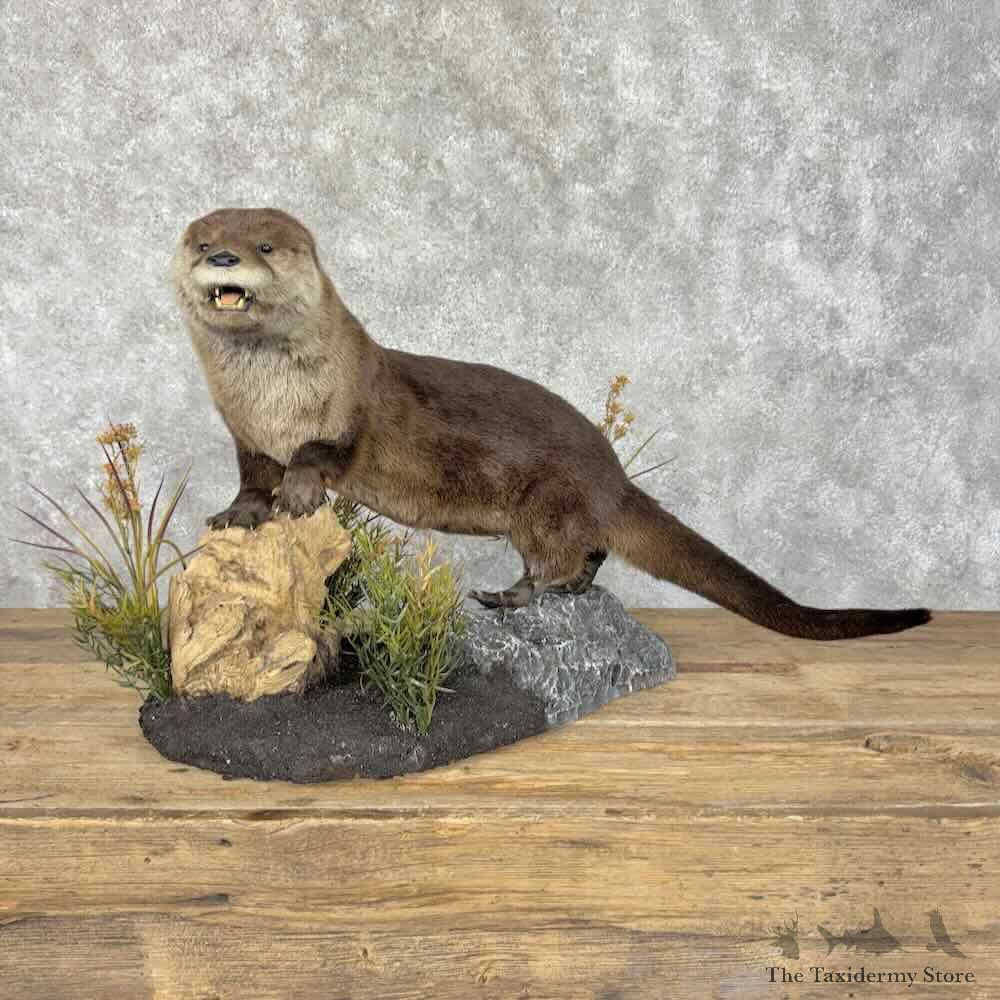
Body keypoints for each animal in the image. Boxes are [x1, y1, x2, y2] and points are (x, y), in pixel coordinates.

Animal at [170, 207, 931, 640]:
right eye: (202, 241)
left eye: (266, 247)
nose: (224, 257)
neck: (272, 397)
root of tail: (613, 477)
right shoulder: (244, 433)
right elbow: (252, 479)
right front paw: (237, 514)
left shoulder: (352, 404)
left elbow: (323, 452)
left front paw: (301, 491)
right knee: (591, 556)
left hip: (547, 503)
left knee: (560, 556)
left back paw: (510, 596)